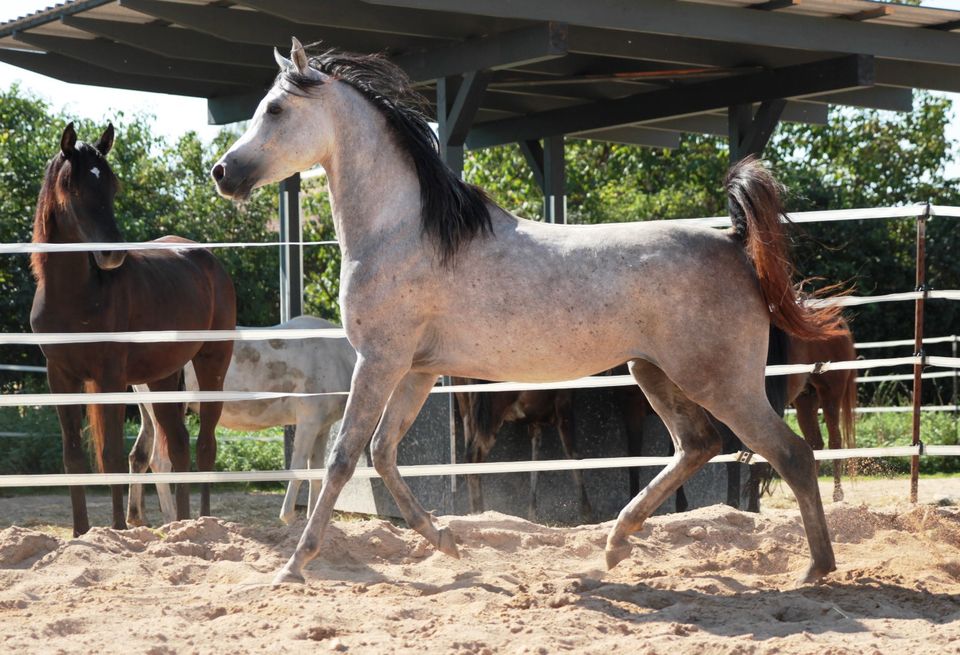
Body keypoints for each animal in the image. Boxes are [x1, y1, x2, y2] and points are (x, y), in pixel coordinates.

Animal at [31, 124, 234, 540]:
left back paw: (205, 523)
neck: (74, 295)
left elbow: (109, 453)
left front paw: (117, 529)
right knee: (178, 445)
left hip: (212, 364)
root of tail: (207, 259)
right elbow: (73, 455)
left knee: (205, 445)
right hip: (162, 377)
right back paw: (182, 524)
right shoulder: (60, 376)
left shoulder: (109, 377)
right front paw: (81, 534)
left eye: (112, 186)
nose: (112, 255)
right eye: (75, 189)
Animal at [125, 316, 354, 524]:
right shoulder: (309, 421)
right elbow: (298, 465)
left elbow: (316, 470)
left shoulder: (322, 427)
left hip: (149, 413)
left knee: (139, 456)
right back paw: (172, 518)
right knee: (160, 461)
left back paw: (137, 519)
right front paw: (288, 517)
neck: (337, 354)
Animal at [214, 38, 844, 588]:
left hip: (721, 382)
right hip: (653, 372)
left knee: (791, 454)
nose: (223, 173)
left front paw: (294, 565)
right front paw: (446, 541)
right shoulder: (416, 370)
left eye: (275, 109)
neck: (405, 231)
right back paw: (615, 544)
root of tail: (736, 244)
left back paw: (815, 570)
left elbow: (344, 457)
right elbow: (384, 453)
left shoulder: (381, 361)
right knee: (698, 445)